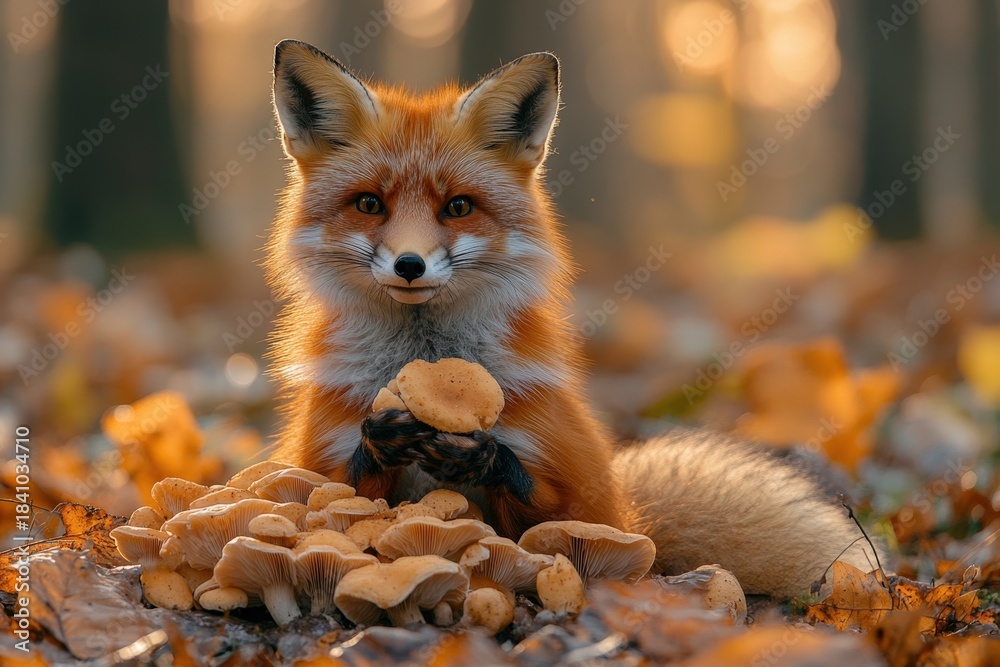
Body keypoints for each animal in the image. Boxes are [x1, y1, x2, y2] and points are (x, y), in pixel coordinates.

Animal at [266, 39, 879, 598]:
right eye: (370, 204)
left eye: (458, 207)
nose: (410, 265)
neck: (428, 358)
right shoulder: (319, 462)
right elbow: (341, 489)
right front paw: (382, 438)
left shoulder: (577, 492)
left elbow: (545, 508)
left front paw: (485, 455)